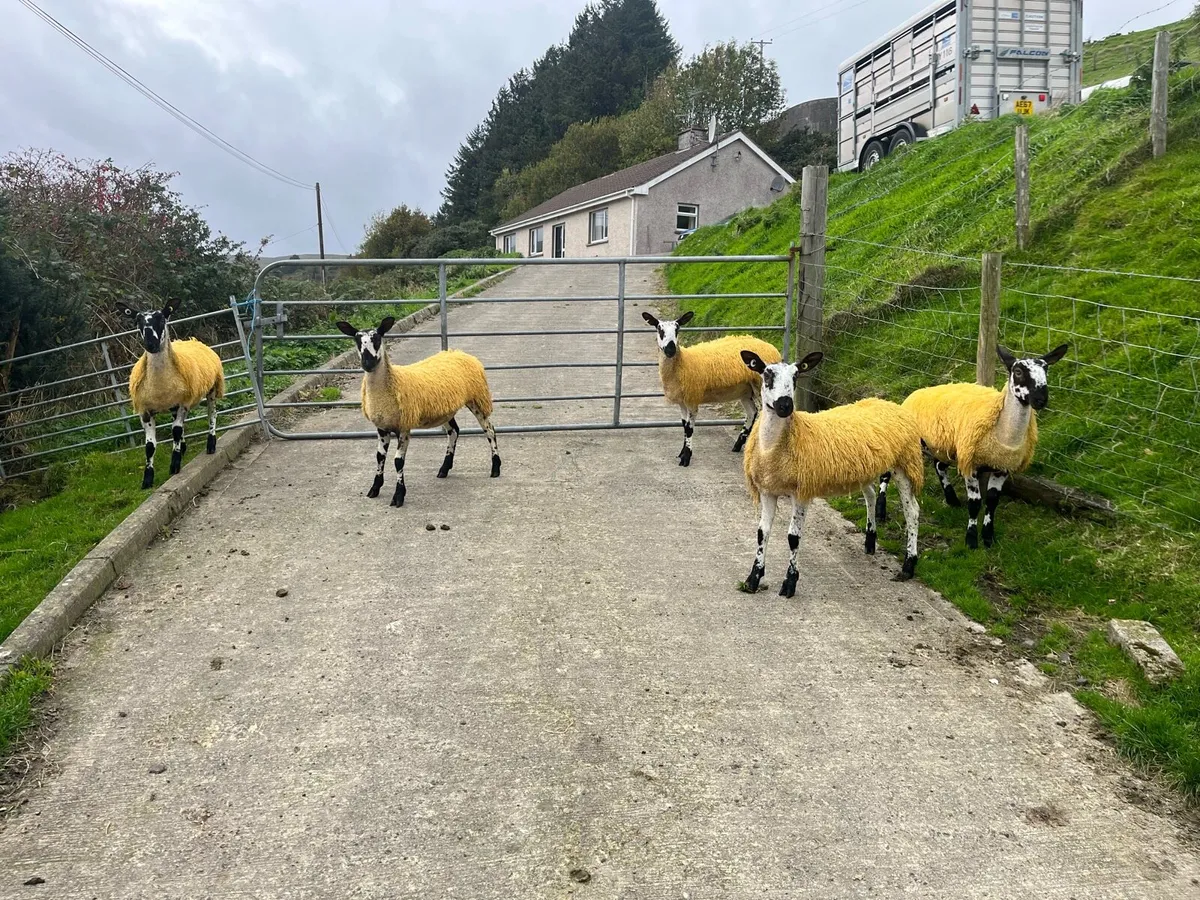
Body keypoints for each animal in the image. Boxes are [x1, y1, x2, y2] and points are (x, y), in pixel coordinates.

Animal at [117, 300, 225, 489]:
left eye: (162, 318)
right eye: (137, 321)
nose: (151, 344)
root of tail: (191, 340)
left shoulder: (182, 403)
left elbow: (175, 431)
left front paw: (174, 466)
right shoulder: (145, 411)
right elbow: (150, 446)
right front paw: (147, 479)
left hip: (212, 388)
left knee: (211, 414)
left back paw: (210, 444)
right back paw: (183, 447)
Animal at [336, 317, 500, 508]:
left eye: (377, 338)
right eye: (356, 339)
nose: (368, 364)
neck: (391, 382)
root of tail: (459, 353)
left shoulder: (404, 426)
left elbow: (398, 461)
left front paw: (399, 496)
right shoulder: (382, 426)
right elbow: (379, 457)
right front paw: (374, 489)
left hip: (477, 398)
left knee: (489, 430)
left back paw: (495, 468)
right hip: (445, 409)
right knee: (453, 432)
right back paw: (444, 469)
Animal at [642, 311, 782, 466]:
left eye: (677, 329)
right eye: (659, 330)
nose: (671, 350)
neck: (683, 363)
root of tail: (771, 347)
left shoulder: (692, 397)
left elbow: (689, 429)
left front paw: (686, 457)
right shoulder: (682, 401)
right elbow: (684, 426)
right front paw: (682, 453)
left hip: (761, 387)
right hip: (745, 390)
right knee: (752, 412)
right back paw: (738, 445)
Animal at [739, 350, 924, 598]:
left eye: (796, 376)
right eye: (767, 375)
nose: (785, 405)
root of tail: (887, 402)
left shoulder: (802, 491)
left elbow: (793, 537)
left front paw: (790, 582)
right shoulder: (768, 490)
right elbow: (762, 532)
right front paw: (753, 579)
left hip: (904, 462)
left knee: (912, 511)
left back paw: (908, 564)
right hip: (865, 468)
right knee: (871, 495)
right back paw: (870, 541)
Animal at [876, 343, 1069, 549]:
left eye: (1046, 369)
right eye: (1017, 371)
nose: (1041, 400)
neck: (1004, 434)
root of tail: (915, 393)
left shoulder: (1002, 467)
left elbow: (992, 501)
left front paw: (988, 537)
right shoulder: (971, 464)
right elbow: (975, 503)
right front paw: (971, 539)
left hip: (948, 448)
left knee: (939, 465)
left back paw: (951, 499)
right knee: (886, 473)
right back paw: (880, 510)